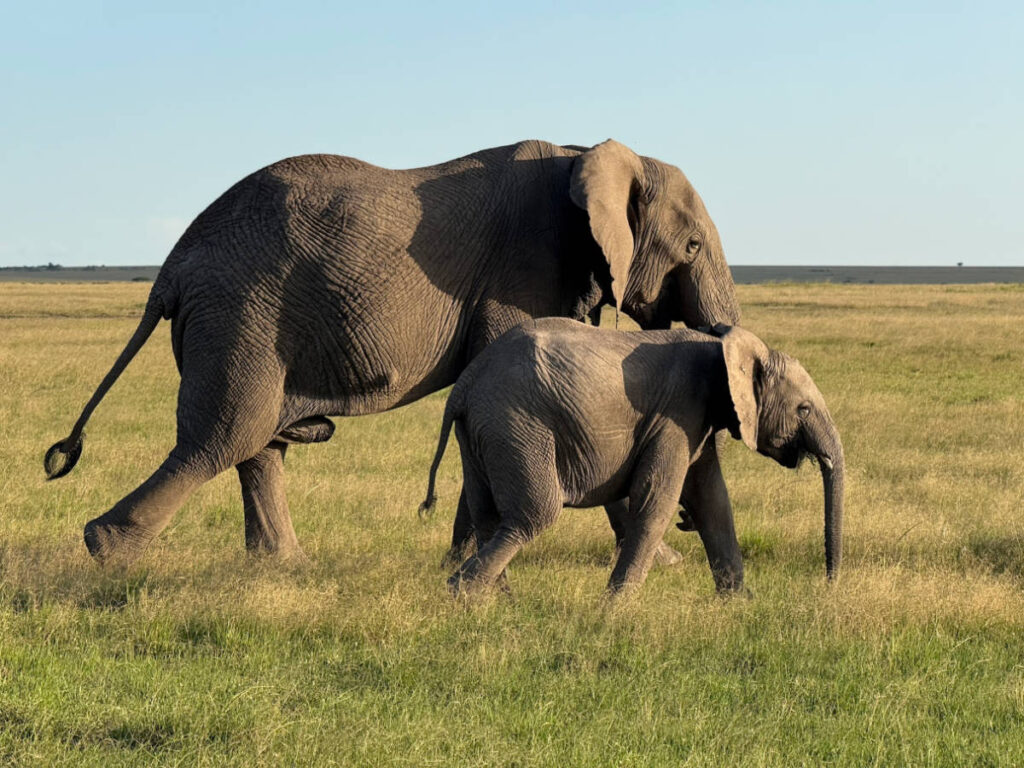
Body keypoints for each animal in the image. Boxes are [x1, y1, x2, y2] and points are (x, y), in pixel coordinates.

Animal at [44, 138, 740, 565]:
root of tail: (173, 264)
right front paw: (668, 562)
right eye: (693, 247)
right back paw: (110, 553)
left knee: (256, 443)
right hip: (240, 315)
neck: (591, 153)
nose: (686, 522)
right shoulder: (525, 269)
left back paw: (284, 566)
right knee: (223, 435)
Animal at [420, 320, 844, 594]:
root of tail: (465, 385)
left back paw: (499, 602)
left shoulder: (698, 421)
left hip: (482, 433)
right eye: (804, 409)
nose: (827, 584)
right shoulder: (677, 413)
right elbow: (657, 498)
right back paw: (462, 596)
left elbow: (713, 502)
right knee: (534, 514)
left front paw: (740, 606)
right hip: (517, 425)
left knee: (488, 514)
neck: (722, 346)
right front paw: (614, 611)